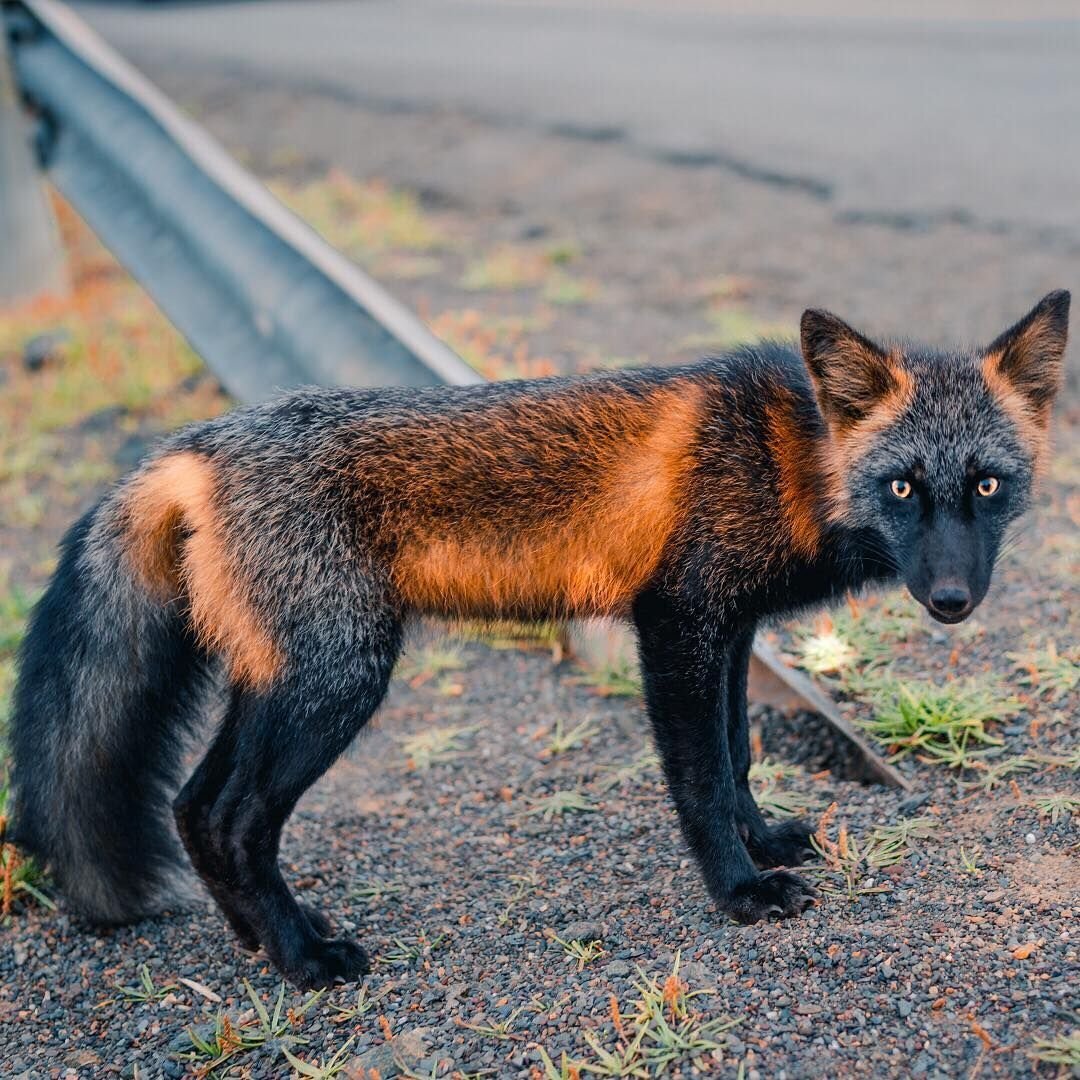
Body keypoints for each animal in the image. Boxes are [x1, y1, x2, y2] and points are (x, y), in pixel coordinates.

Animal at [10, 289, 1071, 989]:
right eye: (903, 487)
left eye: (987, 485)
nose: (951, 600)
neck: (785, 456)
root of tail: (195, 446)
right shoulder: (675, 625)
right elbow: (698, 780)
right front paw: (738, 890)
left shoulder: (728, 632)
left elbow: (736, 758)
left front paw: (765, 838)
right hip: (338, 680)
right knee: (230, 819)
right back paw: (304, 959)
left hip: (282, 682)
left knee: (194, 809)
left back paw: (268, 937)